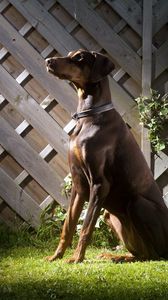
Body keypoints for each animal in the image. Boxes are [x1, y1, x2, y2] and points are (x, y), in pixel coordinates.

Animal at [45, 49, 168, 262]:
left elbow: (85, 228)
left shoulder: (100, 184)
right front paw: (56, 257)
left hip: (138, 204)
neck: (88, 116)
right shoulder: (78, 184)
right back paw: (115, 256)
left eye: (79, 57)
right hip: (109, 216)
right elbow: (68, 226)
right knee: (141, 253)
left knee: (153, 255)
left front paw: (76, 259)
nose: (48, 61)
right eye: (69, 54)